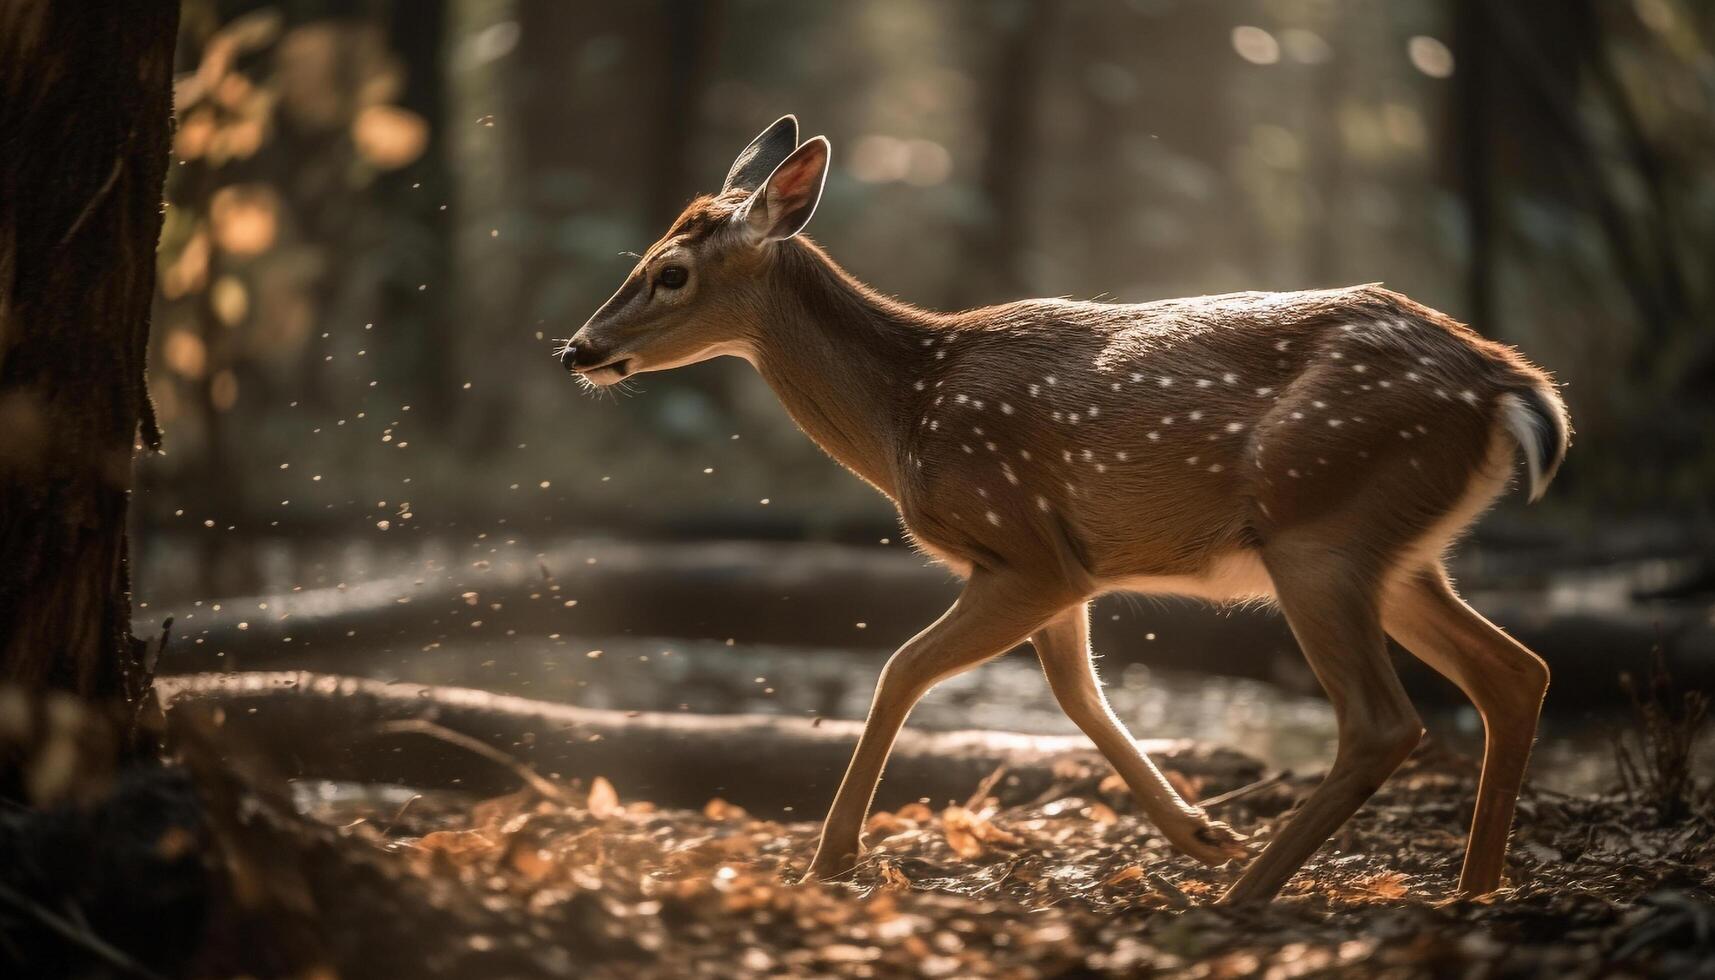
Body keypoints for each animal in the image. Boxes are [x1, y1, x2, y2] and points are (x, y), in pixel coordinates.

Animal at [559, 119, 1570, 906]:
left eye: (670, 272)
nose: (576, 349)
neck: (906, 414)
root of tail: (1508, 386)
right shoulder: (1069, 567)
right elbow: (1077, 694)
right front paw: (1199, 831)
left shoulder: (1019, 545)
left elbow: (898, 670)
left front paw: (831, 861)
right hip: (1393, 554)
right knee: (1514, 673)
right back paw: (1469, 889)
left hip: (1316, 531)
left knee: (1383, 720)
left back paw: (1247, 897)